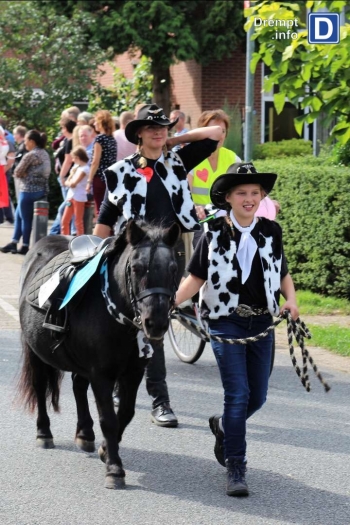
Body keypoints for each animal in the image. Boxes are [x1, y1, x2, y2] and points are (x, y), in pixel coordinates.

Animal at [16, 219, 180, 490]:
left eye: (173, 268)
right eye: (136, 268)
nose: (155, 323)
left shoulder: (133, 373)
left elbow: (125, 413)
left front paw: (105, 450)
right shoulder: (102, 375)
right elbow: (109, 419)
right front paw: (114, 468)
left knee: (78, 386)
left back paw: (85, 433)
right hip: (36, 352)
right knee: (40, 387)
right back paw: (44, 433)